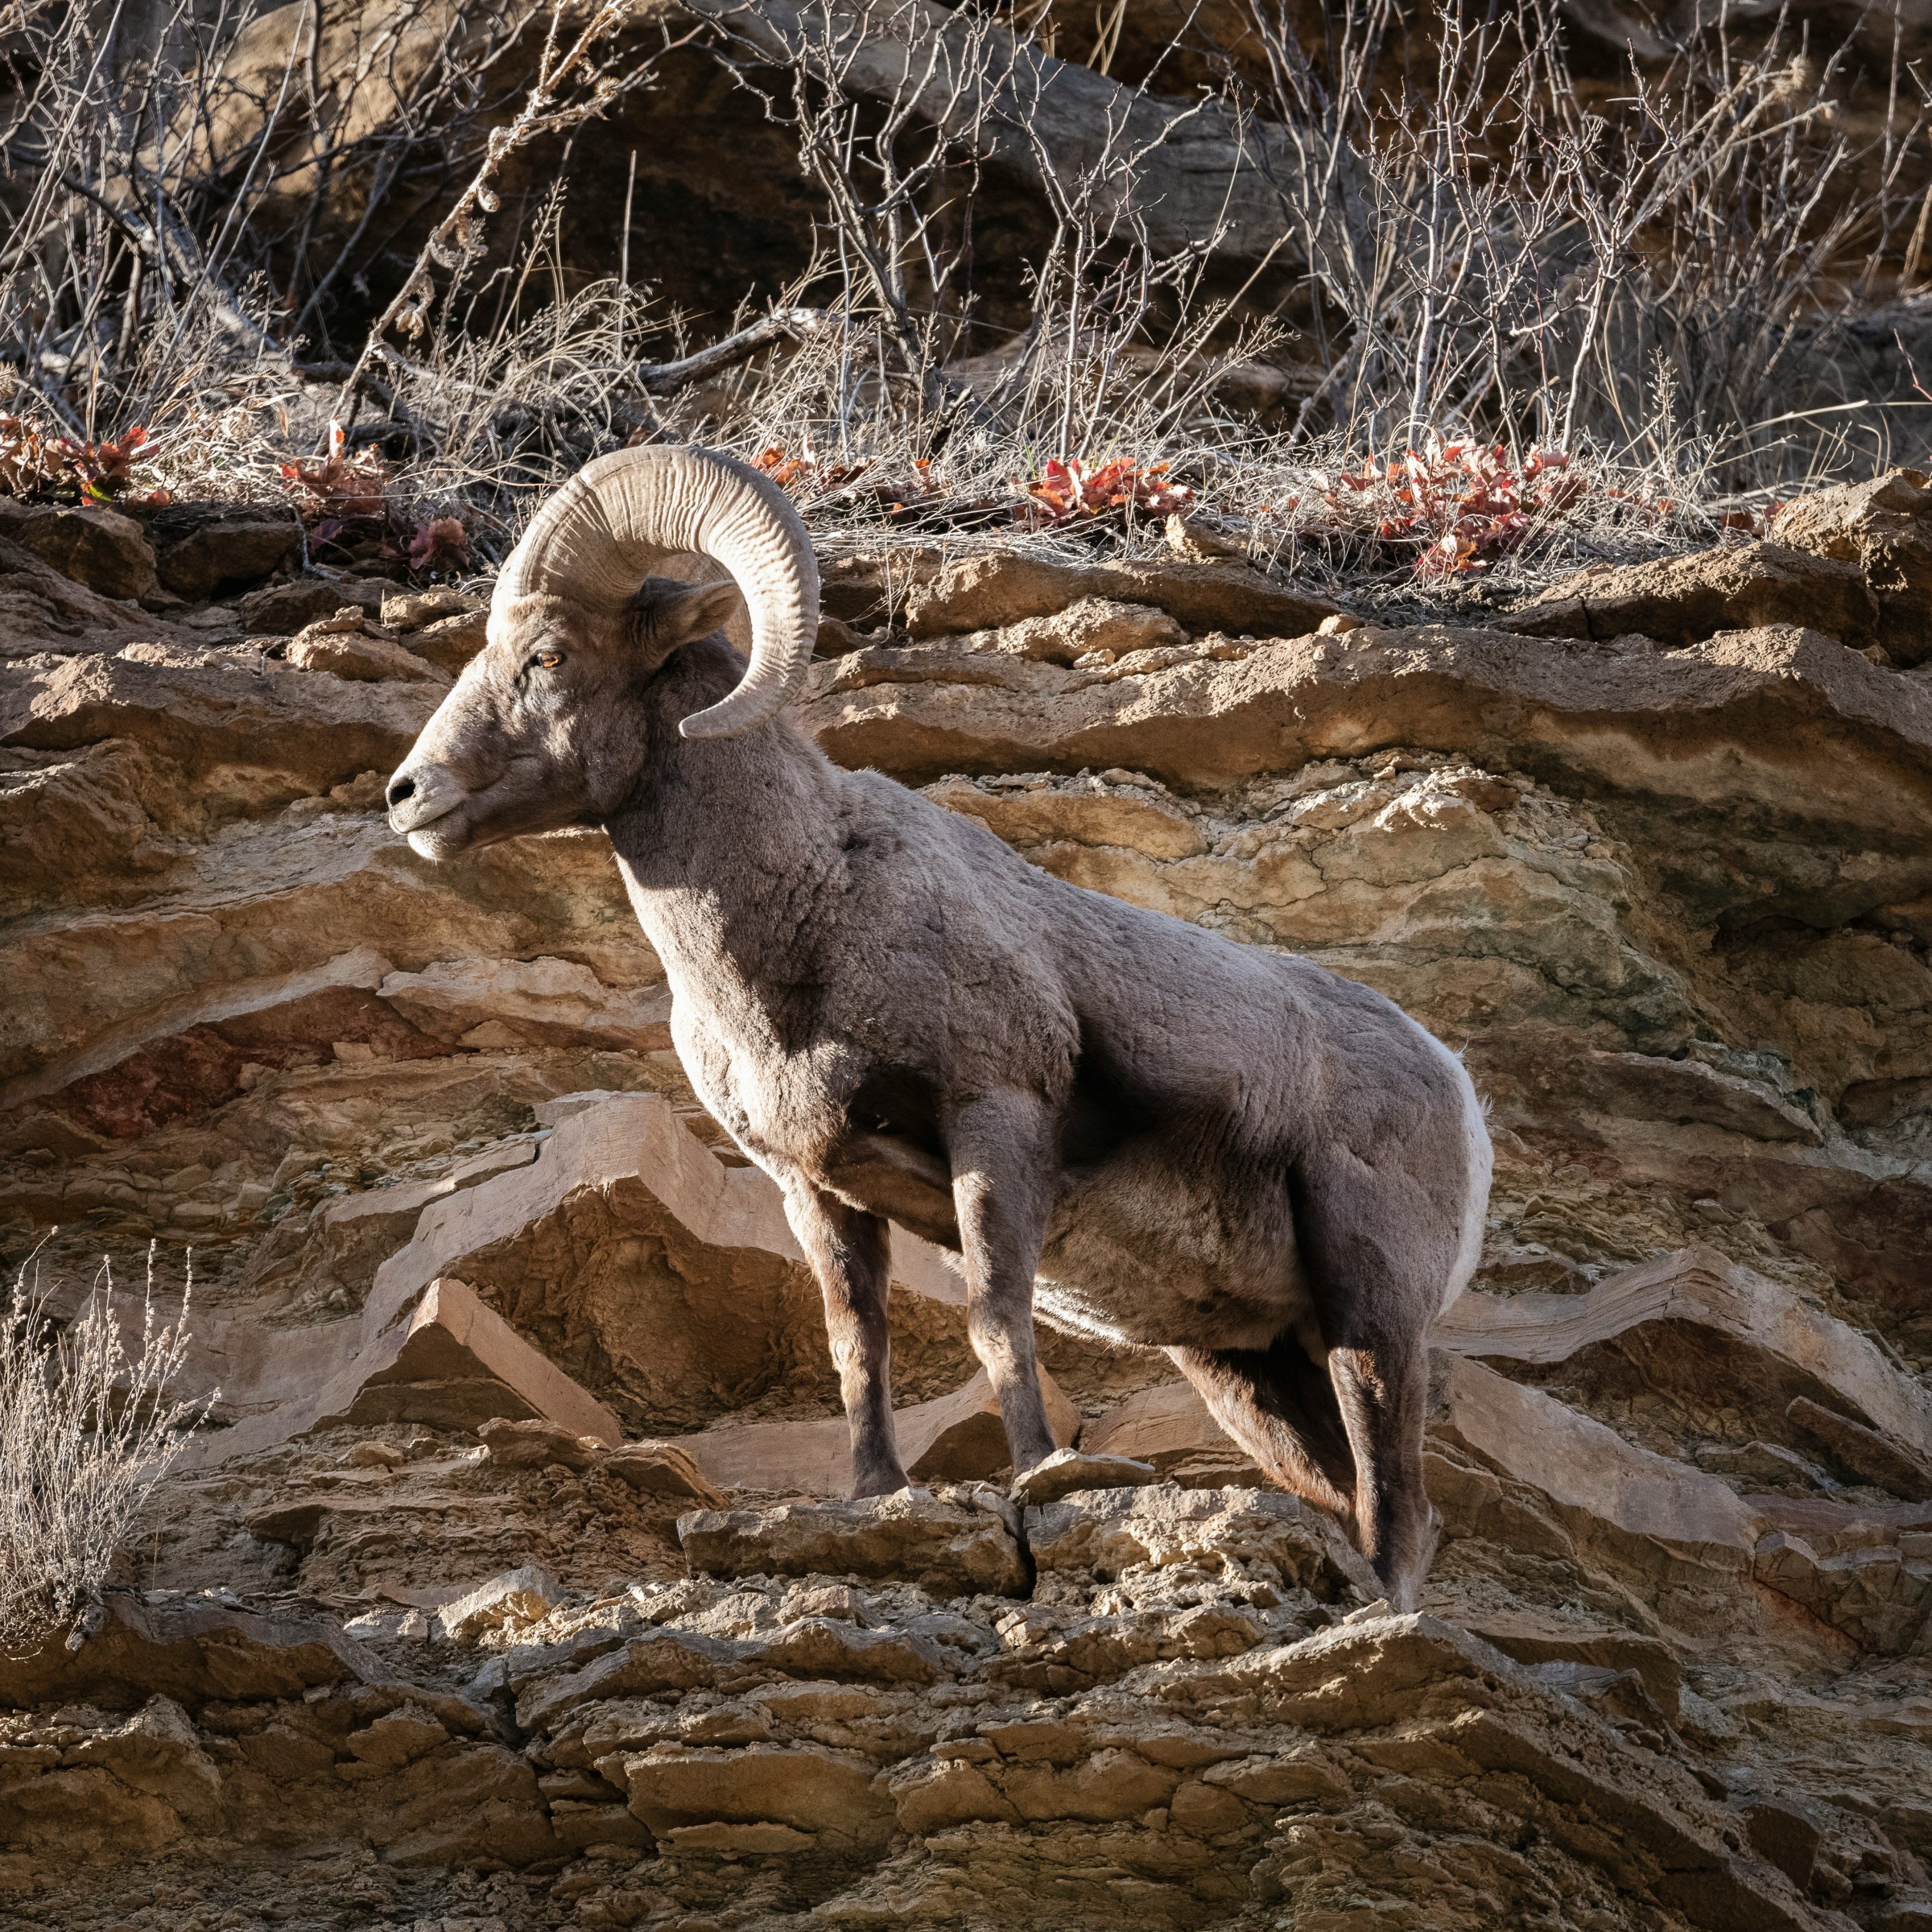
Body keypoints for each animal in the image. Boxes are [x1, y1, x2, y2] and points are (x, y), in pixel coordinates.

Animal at [385, 444, 1492, 1609]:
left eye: (548, 654)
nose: (409, 796)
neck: (809, 914)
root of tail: (1457, 1091)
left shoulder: (993, 1118)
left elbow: (996, 1318)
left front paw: (1039, 1472)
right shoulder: (817, 1188)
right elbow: (855, 1347)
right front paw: (876, 1495)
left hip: (1370, 1312)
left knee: (1397, 1503)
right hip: (1245, 1367)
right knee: (1348, 1497)